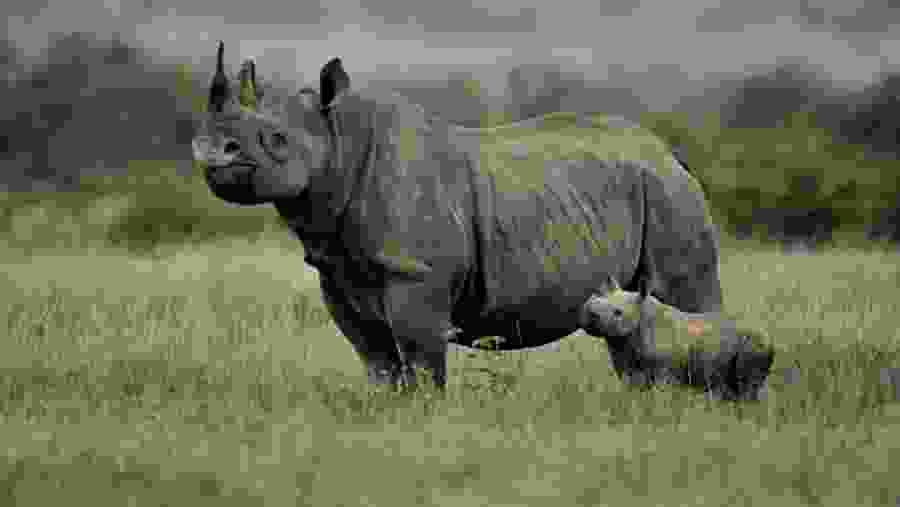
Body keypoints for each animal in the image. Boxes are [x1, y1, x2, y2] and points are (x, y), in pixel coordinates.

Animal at [192, 41, 726, 389]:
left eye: (277, 140)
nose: (211, 149)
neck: (338, 138)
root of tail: (672, 156)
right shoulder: (337, 272)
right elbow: (378, 363)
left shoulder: (415, 275)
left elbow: (422, 363)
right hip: (643, 189)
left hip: (668, 196)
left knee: (684, 296)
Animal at [579, 277, 774, 400]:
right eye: (591, 302)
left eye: (618, 313)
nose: (588, 312)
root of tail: (769, 338)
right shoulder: (627, 364)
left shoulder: (665, 372)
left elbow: (660, 397)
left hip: (755, 343)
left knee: (748, 385)